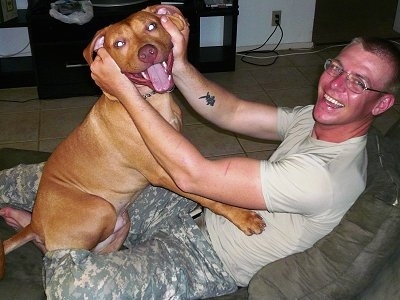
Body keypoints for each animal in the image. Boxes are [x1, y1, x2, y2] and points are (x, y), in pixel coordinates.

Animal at [0, 4, 266, 278]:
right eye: (119, 43)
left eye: (151, 26)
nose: (147, 52)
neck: (150, 100)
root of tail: (36, 224)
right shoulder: (164, 173)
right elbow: (209, 197)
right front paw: (243, 217)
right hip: (102, 208)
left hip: (122, 221)